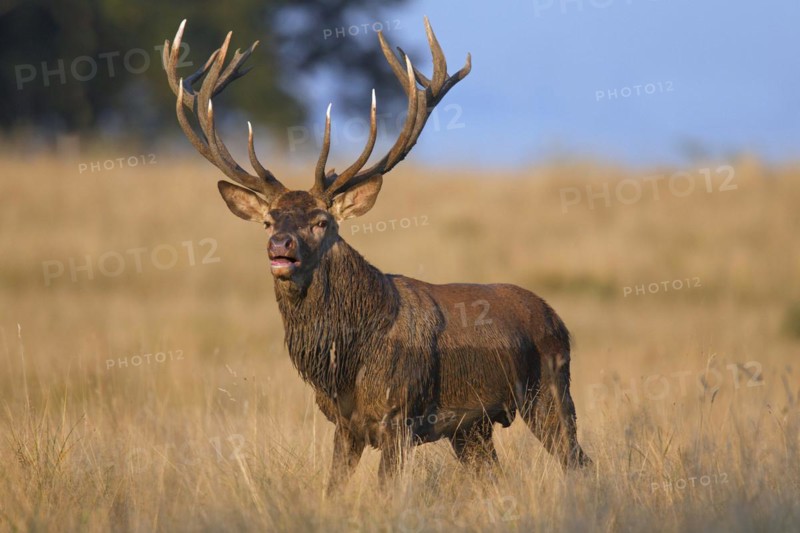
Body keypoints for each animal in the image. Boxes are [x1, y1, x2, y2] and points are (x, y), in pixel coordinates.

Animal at [163, 18, 591, 492]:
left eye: (322, 222)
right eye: (268, 221)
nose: (281, 246)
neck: (347, 362)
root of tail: (556, 317)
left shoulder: (399, 417)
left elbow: (387, 490)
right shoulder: (343, 424)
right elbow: (332, 488)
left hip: (550, 390)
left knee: (579, 460)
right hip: (473, 427)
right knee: (494, 475)